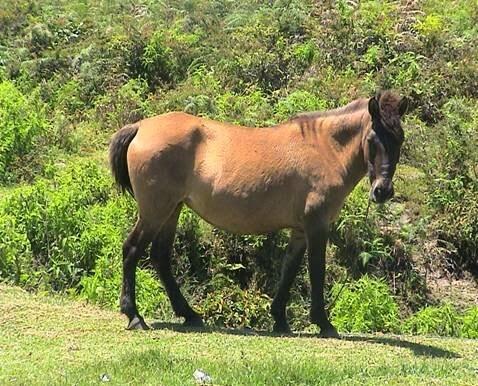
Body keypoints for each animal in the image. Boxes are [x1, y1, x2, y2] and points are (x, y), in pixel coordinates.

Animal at [108, 90, 408, 338]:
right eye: (373, 139)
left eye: (400, 139)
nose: (383, 191)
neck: (325, 149)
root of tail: (140, 126)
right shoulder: (317, 226)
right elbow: (316, 270)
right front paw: (323, 323)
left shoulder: (300, 230)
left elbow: (289, 270)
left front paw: (280, 320)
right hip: (155, 212)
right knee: (132, 250)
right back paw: (134, 316)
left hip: (171, 210)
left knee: (160, 257)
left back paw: (189, 314)